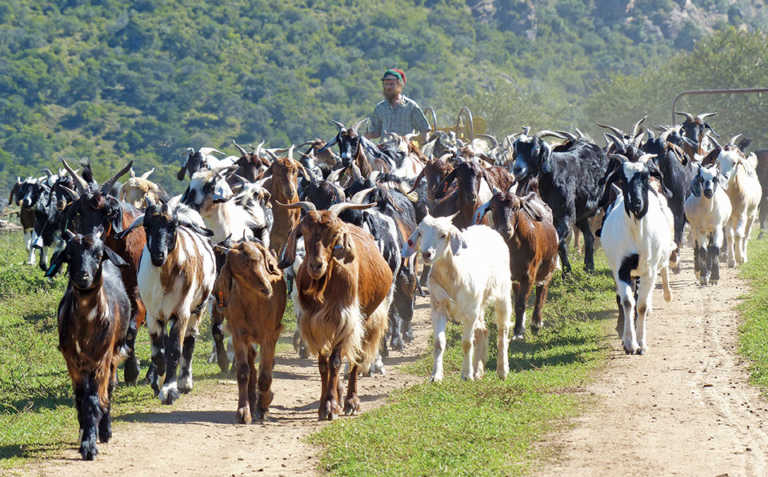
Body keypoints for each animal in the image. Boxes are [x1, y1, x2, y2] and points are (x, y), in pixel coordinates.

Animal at [213, 240, 284, 422]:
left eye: (259, 261)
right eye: (240, 271)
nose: (266, 288)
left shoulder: (269, 336)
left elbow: (265, 375)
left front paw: (264, 406)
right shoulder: (238, 335)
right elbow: (243, 372)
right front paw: (243, 411)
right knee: (252, 363)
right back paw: (252, 400)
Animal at [280, 201, 392, 420]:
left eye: (334, 234)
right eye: (305, 232)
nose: (316, 265)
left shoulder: (344, 319)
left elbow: (336, 361)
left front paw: (331, 405)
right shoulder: (314, 323)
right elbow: (324, 364)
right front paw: (325, 404)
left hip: (367, 319)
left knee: (356, 358)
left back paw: (351, 402)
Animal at [402, 214, 510, 382]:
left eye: (443, 235)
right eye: (420, 233)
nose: (426, 254)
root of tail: (487, 228)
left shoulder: (470, 313)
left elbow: (466, 343)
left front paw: (466, 374)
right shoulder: (438, 307)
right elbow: (439, 343)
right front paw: (436, 375)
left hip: (502, 294)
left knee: (502, 330)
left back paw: (502, 370)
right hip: (478, 304)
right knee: (483, 330)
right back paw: (478, 370)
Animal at [474, 188, 560, 336]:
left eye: (515, 207)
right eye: (493, 207)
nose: (505, 230)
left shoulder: (529, 275)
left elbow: (521, 303)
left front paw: (518, 332)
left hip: (548, 267)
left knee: (542, 290)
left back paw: (536, 322)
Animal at [600, 160, 672, 354]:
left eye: (645, 176)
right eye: (622, 179)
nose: (636, 203)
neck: (636, 232)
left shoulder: (649, 270)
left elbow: (641, 305)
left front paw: (642, 344)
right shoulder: (621, 269)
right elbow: (627, 302)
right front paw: (629, 343)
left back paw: (667, 294)